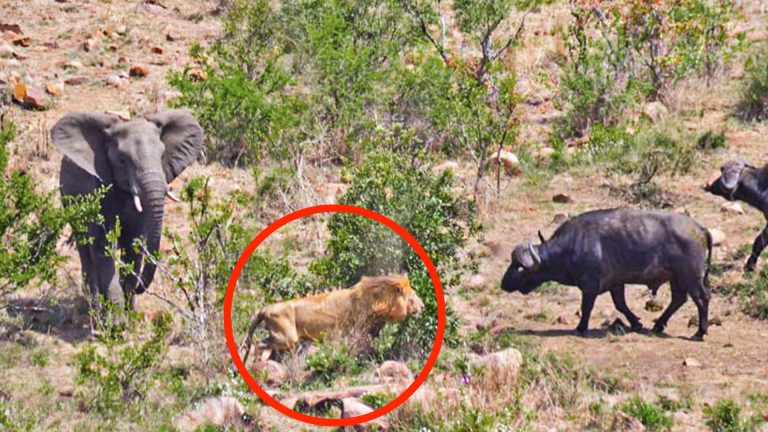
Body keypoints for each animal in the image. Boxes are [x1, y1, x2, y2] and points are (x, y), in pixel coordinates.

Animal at [52, 109, 204, 315]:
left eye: (162, 156)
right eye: (122, 160)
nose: (141, 286)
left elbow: (134, 245)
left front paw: (130, 313)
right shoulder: (99, 189)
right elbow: (103, 248)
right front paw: (117, 319)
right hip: (68, 197)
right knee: (85, 250)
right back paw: (93, 307)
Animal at [240, 275, 424, 364]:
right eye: (413, 296)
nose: (422, 307)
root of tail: (265, 308)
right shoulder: (357, 331)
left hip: (280, 337)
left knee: (260, 343)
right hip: (286, 338)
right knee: (258, 344)